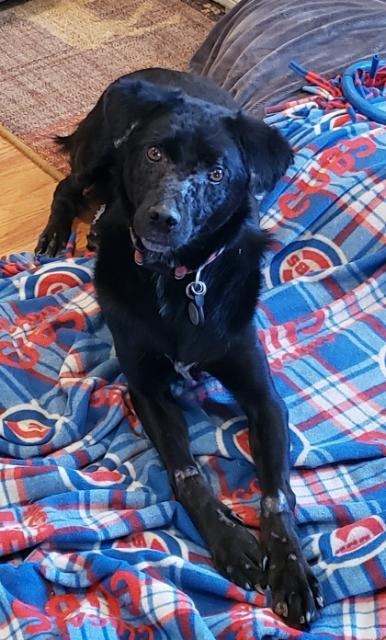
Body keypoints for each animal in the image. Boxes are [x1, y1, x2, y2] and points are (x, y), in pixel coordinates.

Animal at [37, 67, 322, 628]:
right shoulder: (146, 388)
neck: (179, 279)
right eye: (152, 154)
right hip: (96, 152)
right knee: (68, 185)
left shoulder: (263, 396)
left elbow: (276, 494)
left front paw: (291, 567)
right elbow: (187, 473)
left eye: (215, 175)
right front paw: (230, 542)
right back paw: (60, 232)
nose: (161, 218)